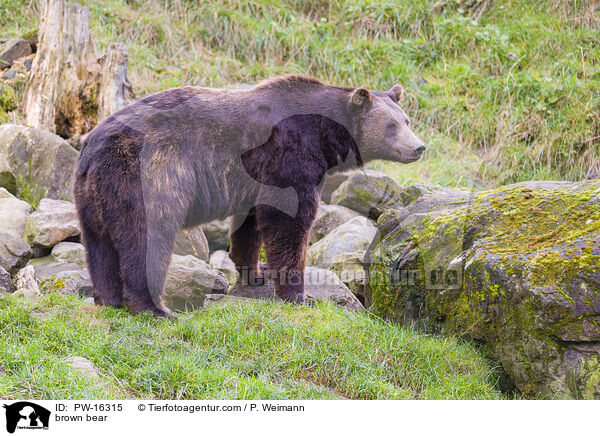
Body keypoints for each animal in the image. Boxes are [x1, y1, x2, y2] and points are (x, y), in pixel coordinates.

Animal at [72, 76, 424, 316]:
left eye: (406, 120)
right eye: (392, 126)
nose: (418, 147)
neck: (324, 136)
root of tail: (92, 145)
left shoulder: (255, 176)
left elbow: (251, 223)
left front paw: (253, 272)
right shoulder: (289, 154)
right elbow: (289, 219)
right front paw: (299, 294)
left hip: (94, 192)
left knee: (99, 243)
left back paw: (108, 297)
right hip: (148, 176)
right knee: (146, 237)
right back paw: (154, 308)